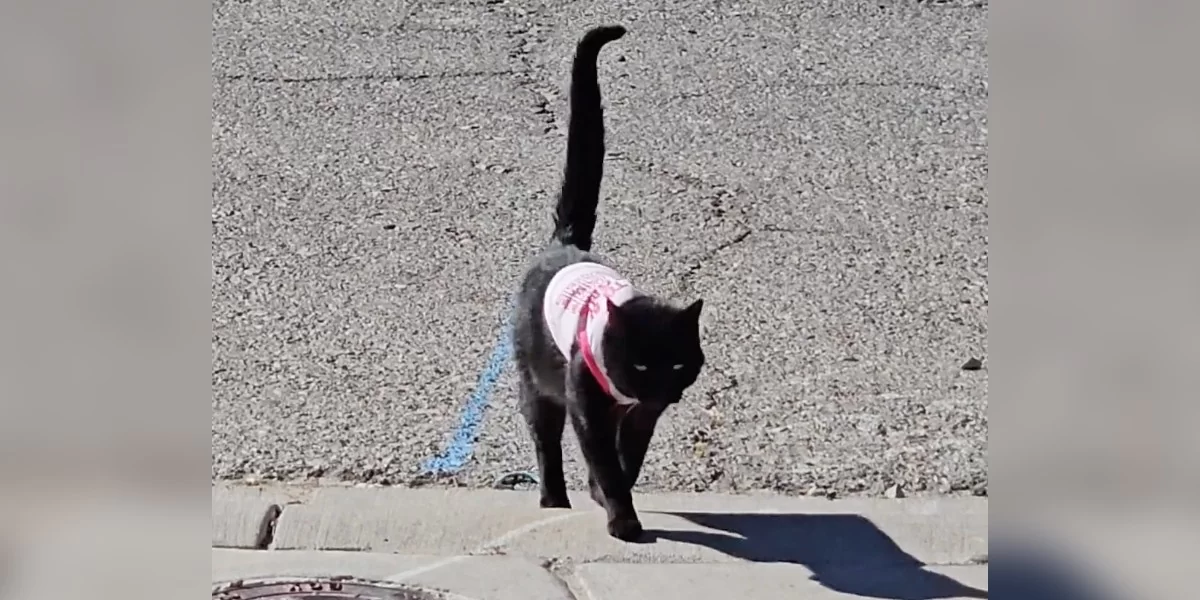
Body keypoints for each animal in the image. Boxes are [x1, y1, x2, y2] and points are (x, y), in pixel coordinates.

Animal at [511, 25, 705, 544]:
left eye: (678, 364)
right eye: (639, 364)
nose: (659, 387)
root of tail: (566, 243)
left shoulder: (641, 418)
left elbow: (626, 461)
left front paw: (607, 495)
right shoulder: (588, 408)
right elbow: (604, 461)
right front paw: (623, 521)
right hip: (537, 382)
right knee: (545, 439)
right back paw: (553, 500)